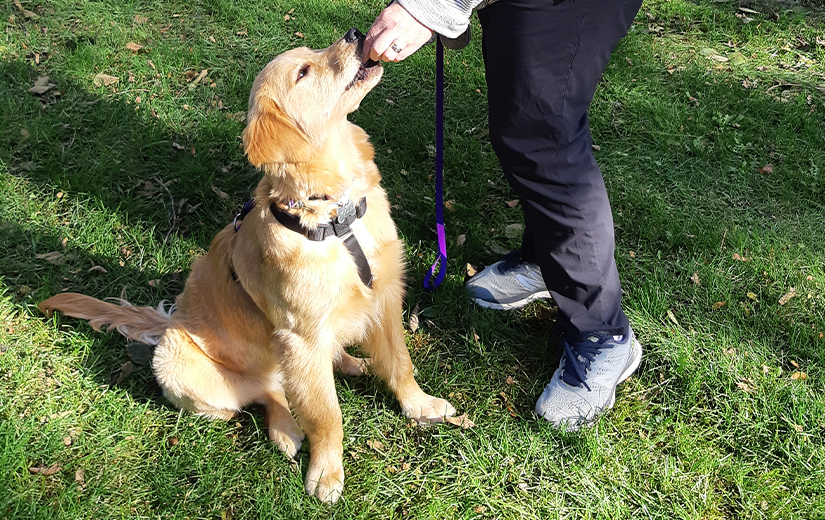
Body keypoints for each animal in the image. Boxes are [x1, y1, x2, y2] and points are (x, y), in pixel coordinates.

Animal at [40, 28, 458, 504]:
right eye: (303, 72)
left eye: (313, 52)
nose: (356, 33)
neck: (336, 215)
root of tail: (166, 324)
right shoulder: (301, 335)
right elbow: (326, 414)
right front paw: (327, 472)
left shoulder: (383, 297)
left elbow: (400, 364)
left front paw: (419, 405)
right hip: (183, 364)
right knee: (268, 390)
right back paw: (286, 430)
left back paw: (350, 363)